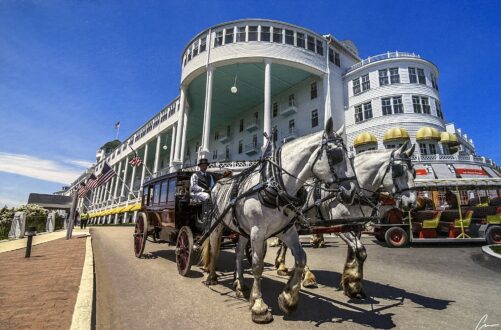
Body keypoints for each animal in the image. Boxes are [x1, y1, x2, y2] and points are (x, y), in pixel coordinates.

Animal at [199, 120, 356, 324]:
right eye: (336, 155)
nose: (351, 191)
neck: (275, 184)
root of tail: (217, 183)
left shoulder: (286, 230)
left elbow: (301, 258)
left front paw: (288, 298)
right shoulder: (258, 232)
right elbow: (257, 265)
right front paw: (258, 306)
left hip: (242, 230)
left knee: (238, 253)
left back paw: (240, 284)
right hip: (217, 224)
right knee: (214, 247)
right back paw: (211, 276)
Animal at [248, 143, 416, 298]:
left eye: (413, 172)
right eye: (399, 171)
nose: (411, 203)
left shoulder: (355, 226)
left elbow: (354, 252)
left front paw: (351, 282)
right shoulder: (339, 225)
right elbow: (360, 251)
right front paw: (353, 285)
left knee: (287, 244)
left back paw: (282, 265)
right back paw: (307, 276)